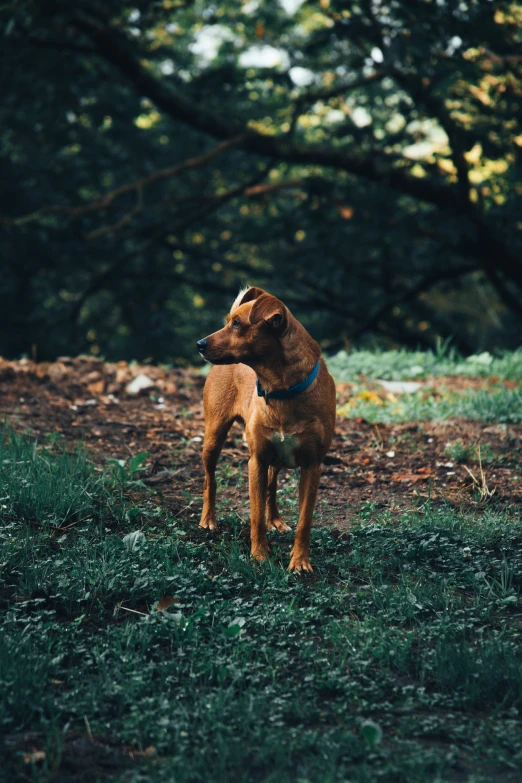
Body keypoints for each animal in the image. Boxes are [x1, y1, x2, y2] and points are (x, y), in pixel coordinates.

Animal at [195, 286, 334, 568]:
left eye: (237, 324)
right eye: (228, 321)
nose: (199, 344)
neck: (281, 390)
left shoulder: (312, 466)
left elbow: (304, 521)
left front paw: (300, 561)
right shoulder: (256, 460)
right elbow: (255, 516)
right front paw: (259, 555)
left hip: (277, 457)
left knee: (271, 486)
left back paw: (276, 521)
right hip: (214, 437)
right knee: (209, 479)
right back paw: (208, 519)